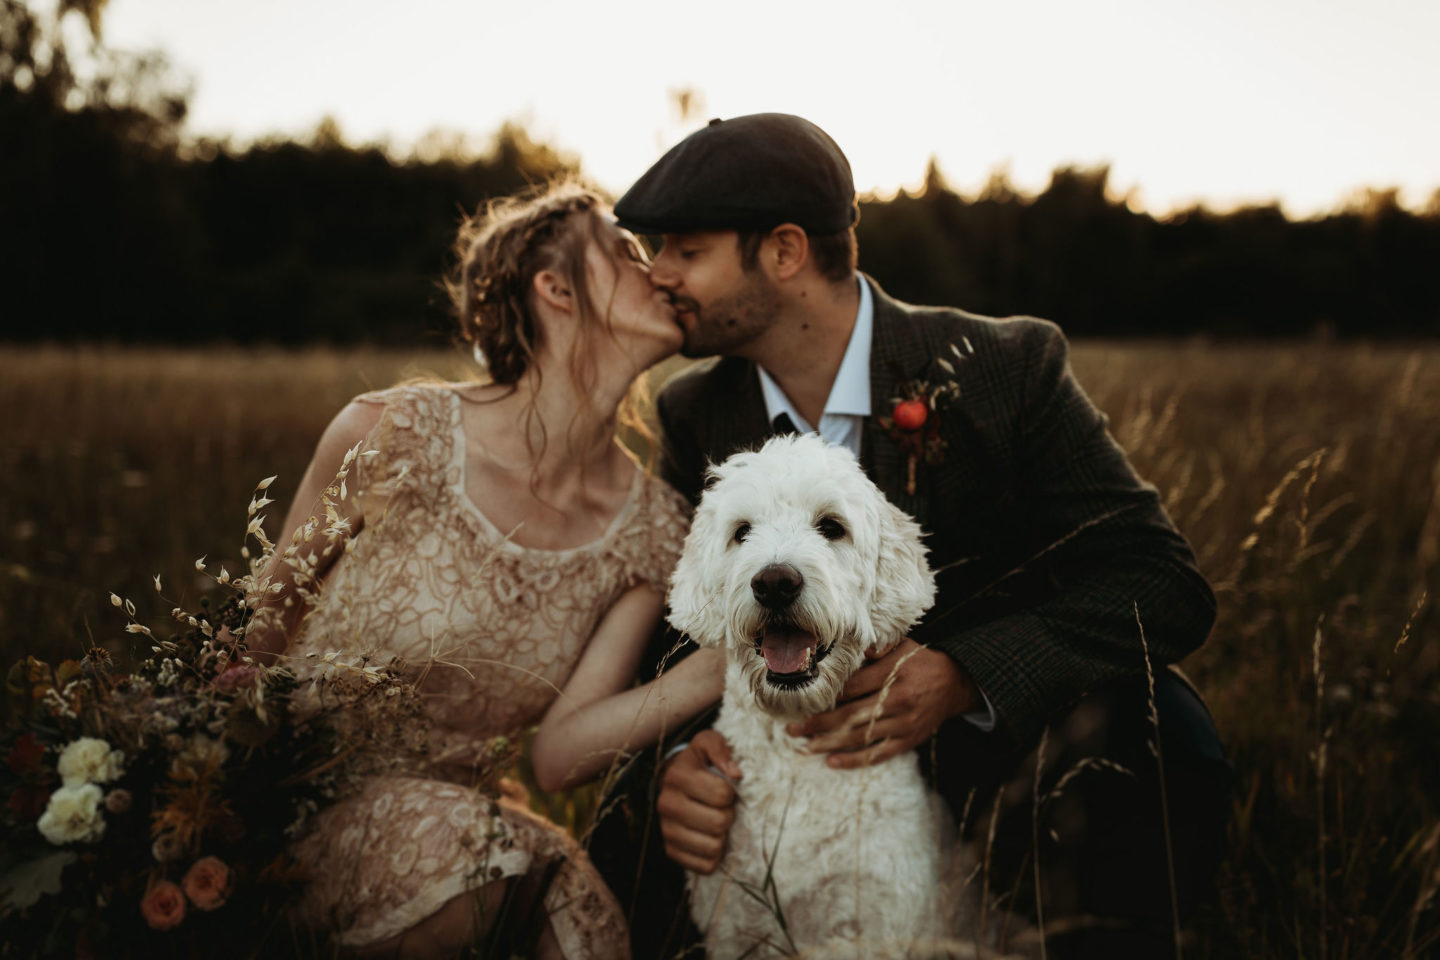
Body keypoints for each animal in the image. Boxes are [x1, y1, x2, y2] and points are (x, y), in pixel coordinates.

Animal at [665, 437, 961, 960]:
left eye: (831, 527)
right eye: (742, 532)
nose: (774, 583)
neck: (794, 756)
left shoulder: (877, 924)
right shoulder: (734, 924)